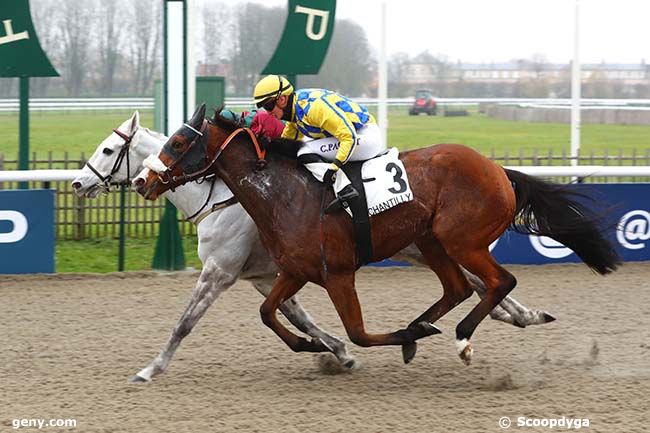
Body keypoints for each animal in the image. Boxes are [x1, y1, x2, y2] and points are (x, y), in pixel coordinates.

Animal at [138, 104, 616, 364]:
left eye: (177, 143)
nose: (144, 181)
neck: (285, 193)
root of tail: (499, 171)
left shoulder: (338, 274)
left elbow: (357, 334)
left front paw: (396, 341)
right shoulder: (295, 271)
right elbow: (268, 313)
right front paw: (310, 346)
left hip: (461, 240)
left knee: (500, 281)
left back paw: (459, 336)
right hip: (432, 240)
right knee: (460, 288)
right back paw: (424, 323)